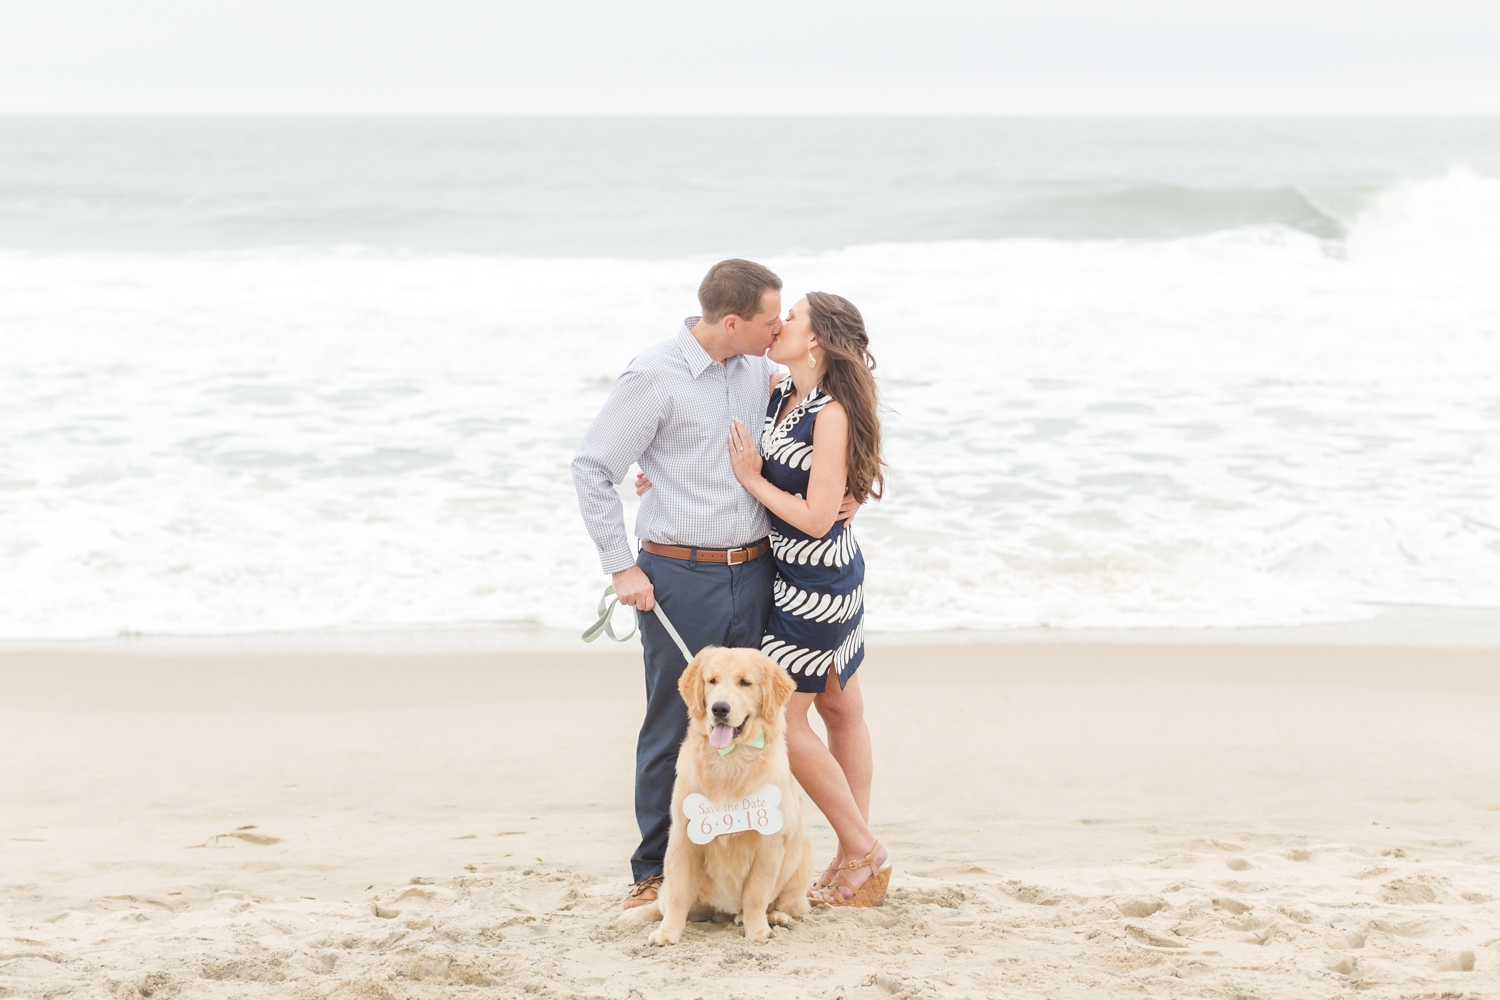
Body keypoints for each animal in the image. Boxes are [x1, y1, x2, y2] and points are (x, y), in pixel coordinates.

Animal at [627, 644, 816, 941]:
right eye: (712, 681)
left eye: (745, 683)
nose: (719, 708)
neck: (730, 760)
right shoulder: (683, 837)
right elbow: (677, 893)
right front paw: (667, 932)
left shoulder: (769, 844)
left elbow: (756, 894)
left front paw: (757, 930)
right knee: (663, 901)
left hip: (802, 856)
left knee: (790, 904)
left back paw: (775, 917)